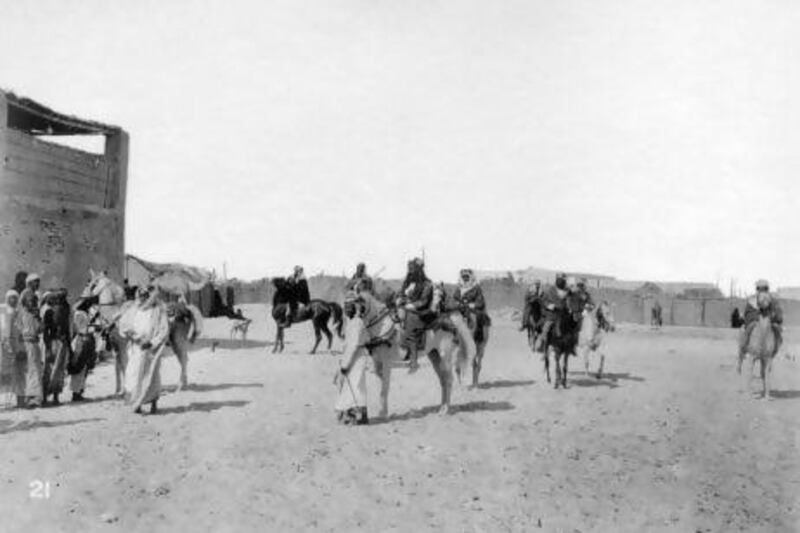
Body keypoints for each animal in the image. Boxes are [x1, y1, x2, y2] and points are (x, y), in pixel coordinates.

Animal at [344, 288, 476, 418]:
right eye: (346, 301)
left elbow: (385, 387)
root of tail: (449, 319)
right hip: (434, 356)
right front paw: (382, 411)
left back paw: (445, 410)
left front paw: (383, 414)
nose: (347, 312)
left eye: (354, 300)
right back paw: (442, 407)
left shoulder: (386, 363)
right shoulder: (377, 362)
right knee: (443, 380)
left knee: (448, 380)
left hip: (445, 356)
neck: (381, 327)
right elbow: (381, 384)